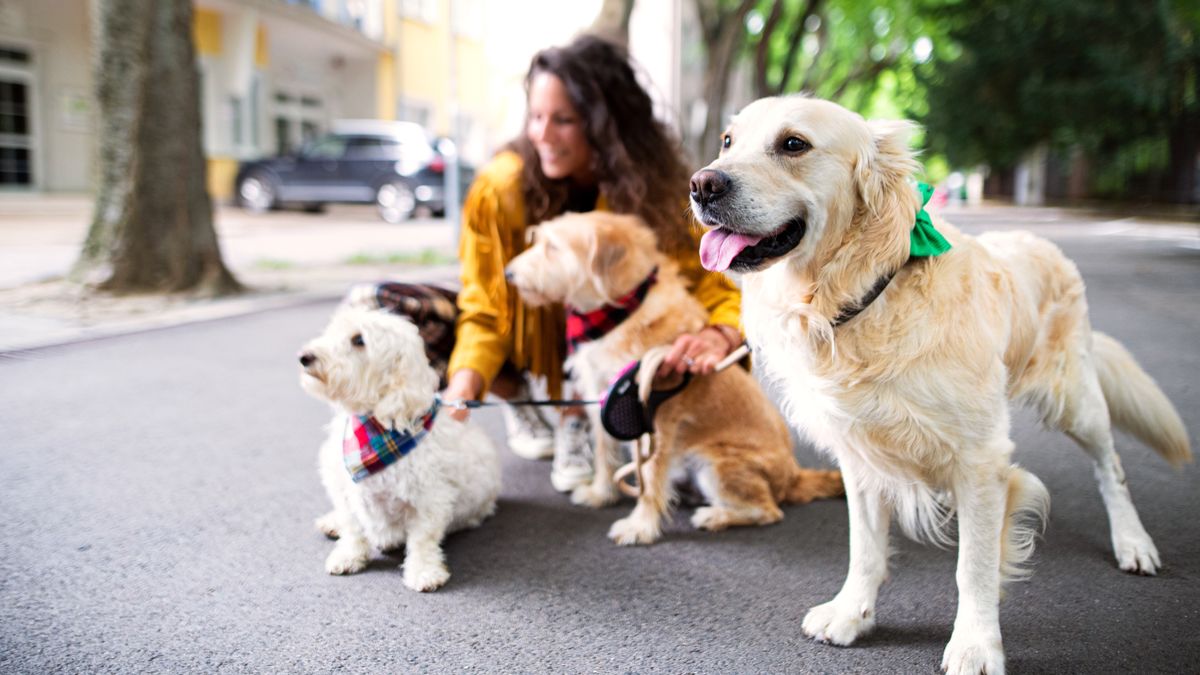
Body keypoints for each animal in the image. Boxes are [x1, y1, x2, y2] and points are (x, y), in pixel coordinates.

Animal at [506, 212, 844, 542]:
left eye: (552, 247)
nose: (508, 273)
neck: (620, 314)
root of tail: (794, 476)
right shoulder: (604, 400)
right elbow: (605, 452)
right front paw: (601, 493)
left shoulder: (654, 417)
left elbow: (650, 474)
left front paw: (640, 526)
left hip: (716, 465)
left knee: (769, 511)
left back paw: (715, 516)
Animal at [691, 94, 1185, 672]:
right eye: (728, 141)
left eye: (794, 144)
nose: (701, 184)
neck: (866, 293)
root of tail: (1041, 241)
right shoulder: (859, 452)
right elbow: (865, 547)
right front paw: (852, 613)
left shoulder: (981, 460)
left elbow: (973, 565)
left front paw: (974, 644)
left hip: (1075, 400)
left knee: (1112, 468)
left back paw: (1133, 541)